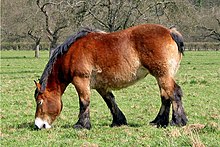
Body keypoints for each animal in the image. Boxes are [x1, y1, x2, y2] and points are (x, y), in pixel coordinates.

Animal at [34, 23, 187, 130]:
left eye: (40, 102)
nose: (38, 125)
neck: (71, 53)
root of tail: (170, 32)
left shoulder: (81, 80)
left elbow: (84, 102)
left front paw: (82, 124)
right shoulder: (101, 86)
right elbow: (110, 101)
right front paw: (118, 121)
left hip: (163, 75)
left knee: (174, 93)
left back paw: (177, 121)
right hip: (162, 76)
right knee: (165, 96)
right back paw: (159, 121)